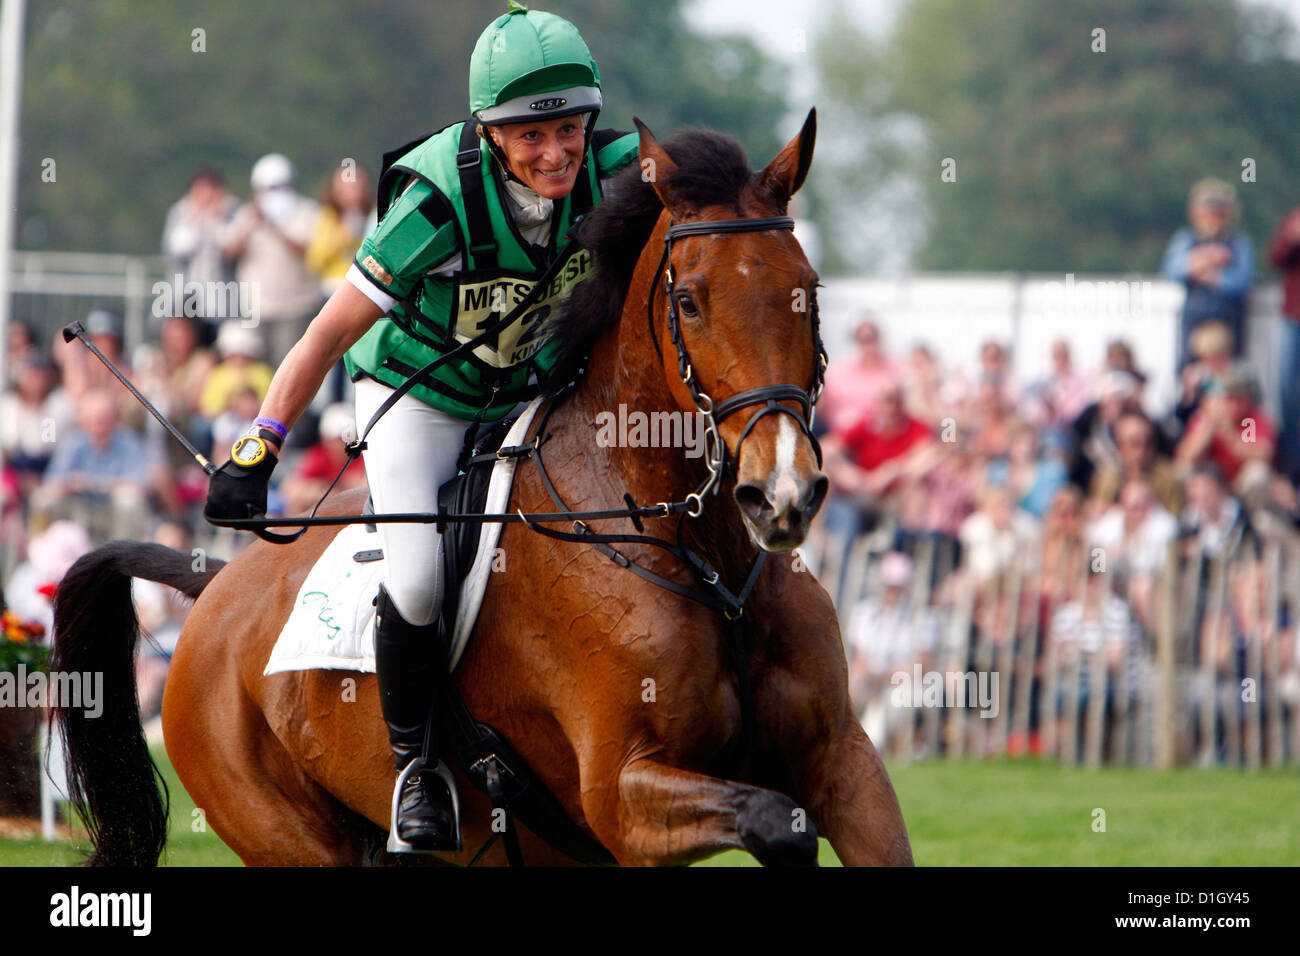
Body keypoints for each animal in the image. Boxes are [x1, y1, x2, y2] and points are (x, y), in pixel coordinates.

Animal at [50, 111, 915, 868]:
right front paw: (243, 475)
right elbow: (778, 821)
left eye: (809, 288)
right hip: (285, 830)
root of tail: (217, 585)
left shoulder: (843, 762)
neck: (697, 547)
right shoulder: (623, 794)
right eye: (689, 300)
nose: (782, 494)